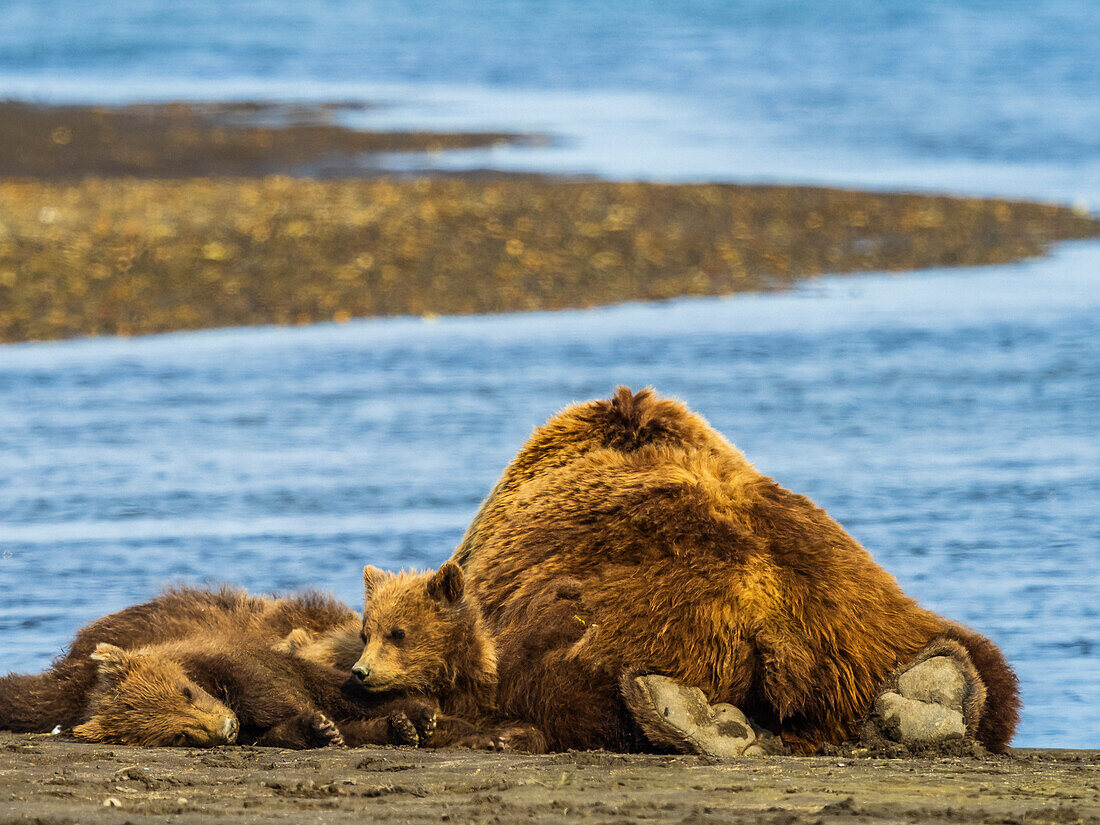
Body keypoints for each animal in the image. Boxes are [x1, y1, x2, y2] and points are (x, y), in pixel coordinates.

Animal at [451, 387, 1016, 756]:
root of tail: (768, 612)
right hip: (865, 613)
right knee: (982, 663)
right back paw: (932, 694)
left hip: (639, 611)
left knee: (562, 677)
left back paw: (690, 718)